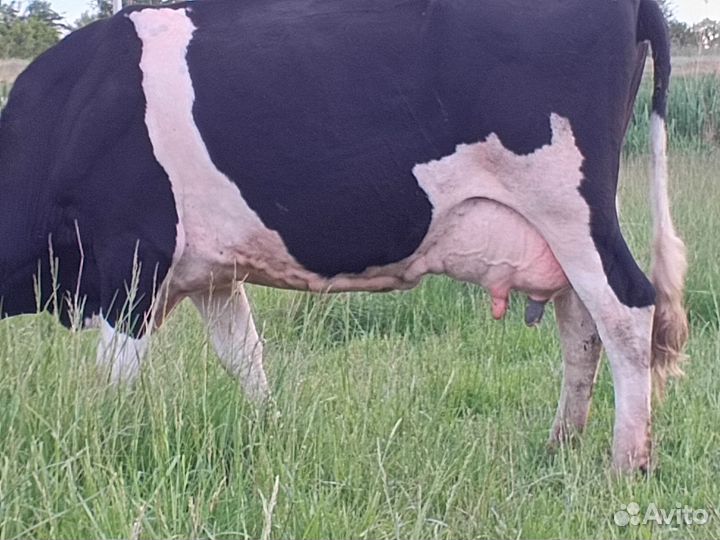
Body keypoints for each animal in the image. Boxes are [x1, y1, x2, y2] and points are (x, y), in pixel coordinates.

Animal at [0, 0, 687, 473]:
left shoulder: (131, 257)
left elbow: (115, 377)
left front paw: (99, 444)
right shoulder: (209, 273)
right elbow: (244, 356)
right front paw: (270, 432)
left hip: (568, 204)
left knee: (627, 309)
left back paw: (625, 463)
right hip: (565, 227)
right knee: (581, 325)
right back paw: (561, 444)